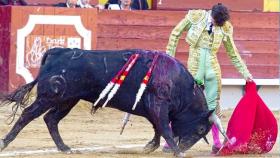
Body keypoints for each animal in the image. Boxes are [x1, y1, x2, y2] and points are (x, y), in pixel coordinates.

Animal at [0, 48, 212, 157]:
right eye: (201, 129)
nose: (184, 147)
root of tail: (57, 51)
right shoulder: (158, 105)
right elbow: (165, 128)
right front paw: (176, 152)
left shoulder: (153, 108)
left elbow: (158, 128)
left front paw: (151, 146)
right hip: (49, 96)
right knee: (28, 114)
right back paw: (4, 142)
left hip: (68, 100)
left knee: (51, 119)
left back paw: (65, 148)